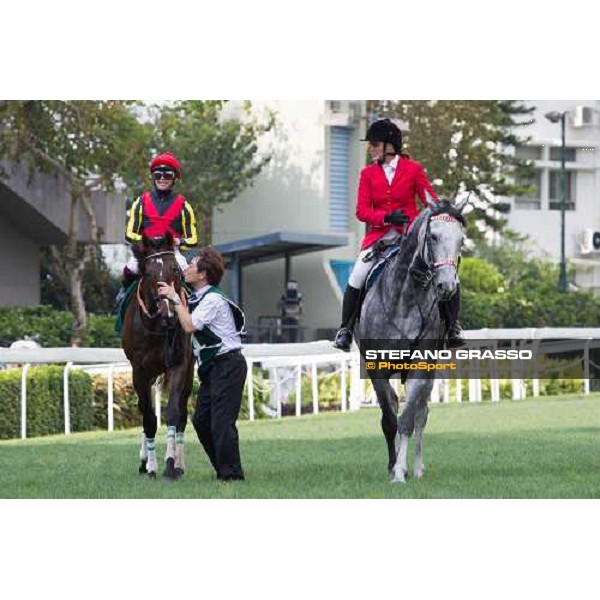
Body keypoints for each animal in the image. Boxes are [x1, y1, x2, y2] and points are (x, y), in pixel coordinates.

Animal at [122, 232, 195, 480]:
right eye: (149, 273)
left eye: (175, 269)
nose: (169, 314)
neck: (156, 328)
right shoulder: (139, 371)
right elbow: (148, 418)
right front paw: (151, 465)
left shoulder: (179, 364)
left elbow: (173, 413)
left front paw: (171, 464)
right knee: (144, 409)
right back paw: (144, 461)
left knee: (182, 413)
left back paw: (181, 464)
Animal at [356, 195, 468, 486]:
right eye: (433, 236)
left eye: (461, 239)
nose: (447, 286)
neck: (404, 299)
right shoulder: (376, 369)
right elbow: (389, 420)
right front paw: (394, 466)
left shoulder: (421, 366)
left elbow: (407, 420)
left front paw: (401, 471)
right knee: (396, 406)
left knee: (421, 414)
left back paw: (416, 467)